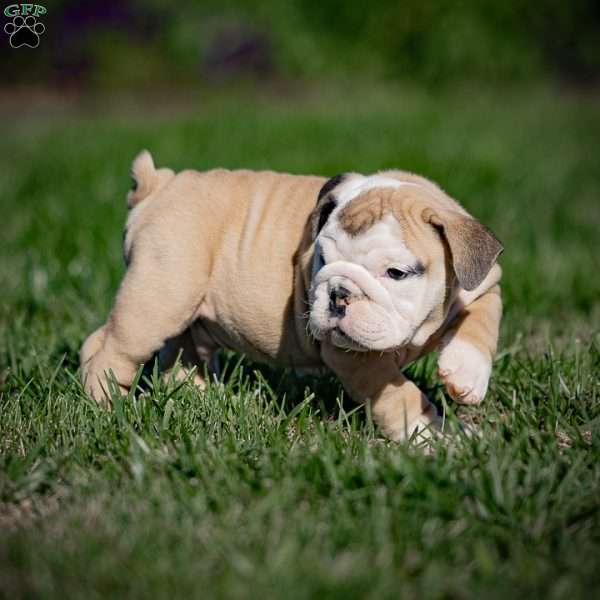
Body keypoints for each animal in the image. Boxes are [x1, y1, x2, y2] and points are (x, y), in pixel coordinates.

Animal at [79, 150, 502, 440]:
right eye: (322, 259)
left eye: (396, 273)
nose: (339, 293)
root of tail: (160, 184)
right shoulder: (354, 357)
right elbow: (398, 396)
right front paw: (430, 435)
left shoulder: (483, 281)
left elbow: (483, 320)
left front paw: (465, 373)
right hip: (159, 296)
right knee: (107, 346)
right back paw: (104, 403)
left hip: (187, 310)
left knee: (183, 350)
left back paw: (197, 395)